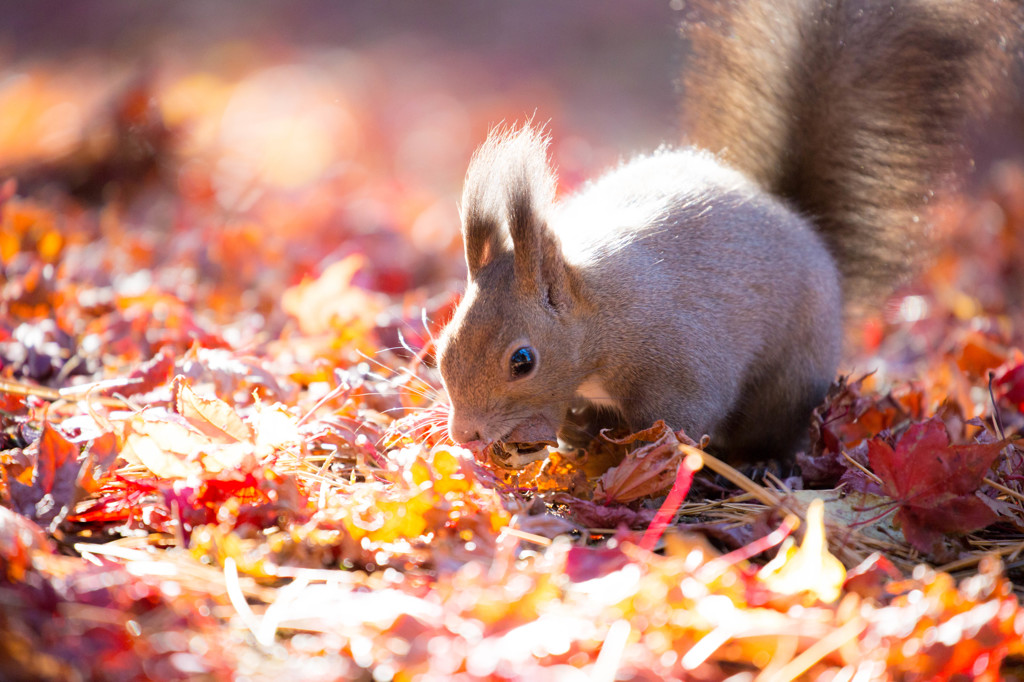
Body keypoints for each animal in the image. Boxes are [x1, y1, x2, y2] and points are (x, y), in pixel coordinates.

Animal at [436, 0, 1019, 466]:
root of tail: (804, 226)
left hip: (790, 376)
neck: (601, 312)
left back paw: (760, 463)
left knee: (775, 429)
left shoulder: (679, 365)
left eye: (523, 361)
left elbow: (679, 425)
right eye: (442, 345)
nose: (465, 436)